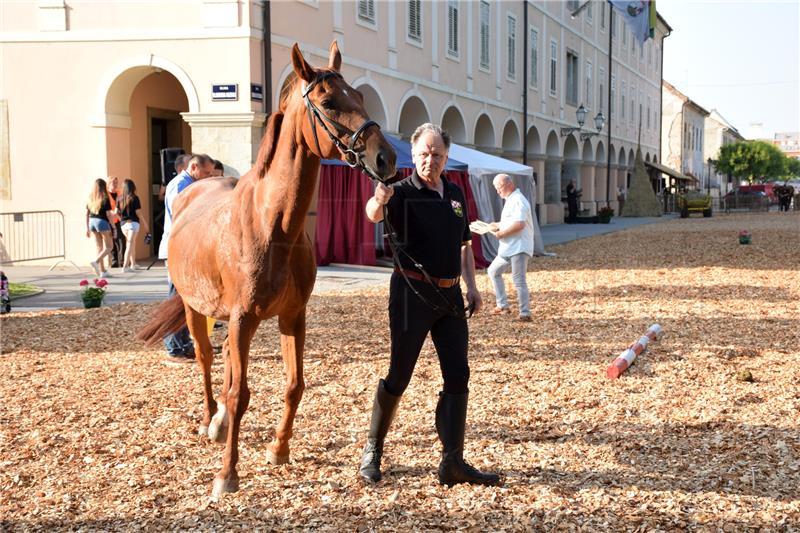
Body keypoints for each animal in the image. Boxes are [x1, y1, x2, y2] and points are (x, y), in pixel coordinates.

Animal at [141, 43, 400, 496]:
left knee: (227, 361)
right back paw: (210, 419)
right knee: (207, 360)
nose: (385, 157)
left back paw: (220, 422)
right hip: (196, 309)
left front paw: (279, 449)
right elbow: (239, 394)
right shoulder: (243, 318)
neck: (274, 225)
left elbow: (294, 384)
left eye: (360, 97)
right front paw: (227, 474)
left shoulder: (291, 316)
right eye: (329, 103)